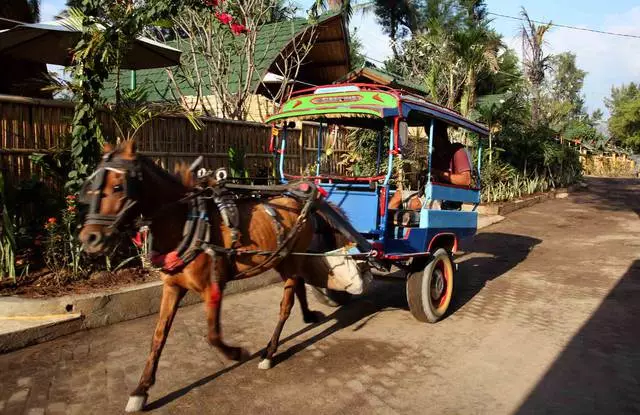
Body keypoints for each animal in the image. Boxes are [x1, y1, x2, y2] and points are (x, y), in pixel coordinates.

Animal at [77, 142, 362, 412]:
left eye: (118, 187)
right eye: (91, 187)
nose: (90, 238)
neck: (186, 223)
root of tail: (301, 200)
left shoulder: (212, 286)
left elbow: (213, 335)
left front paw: (236, 353)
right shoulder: (172, 287)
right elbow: (158, 336)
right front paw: (141, 390)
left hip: (291, 258)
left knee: (285, 305)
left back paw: (270, 352)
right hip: (282, 258)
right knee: (299, 284)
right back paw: (307, 315)